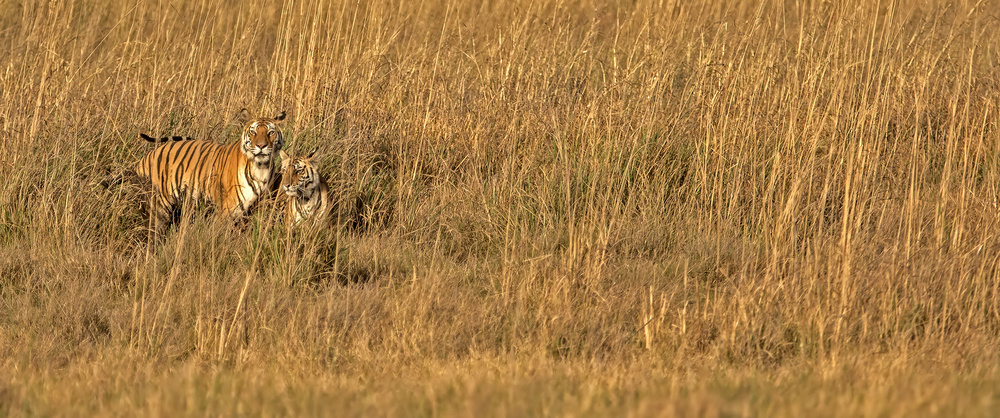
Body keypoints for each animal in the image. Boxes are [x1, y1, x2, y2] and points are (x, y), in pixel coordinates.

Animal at [131, 109, 284, 233]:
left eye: (271, 132)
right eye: (253, 132)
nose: (261, 146)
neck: (261, 168)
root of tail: (144, 158)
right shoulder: (226, 210)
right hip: (157, 206)